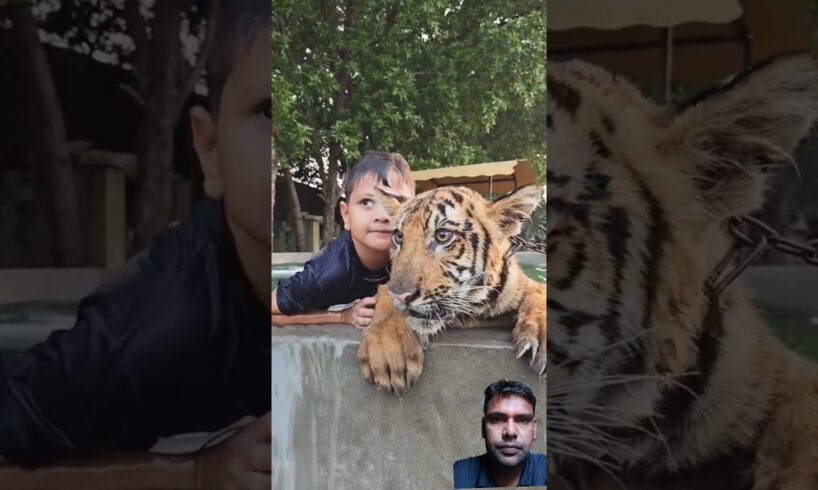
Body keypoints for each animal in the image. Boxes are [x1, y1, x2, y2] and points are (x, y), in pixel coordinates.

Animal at [356, 184, 540, 394]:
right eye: (399, 236)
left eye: (442, 236)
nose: (400, 295)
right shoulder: (387, 286)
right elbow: (387, 302)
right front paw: (388, 348)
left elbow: (540, 293)